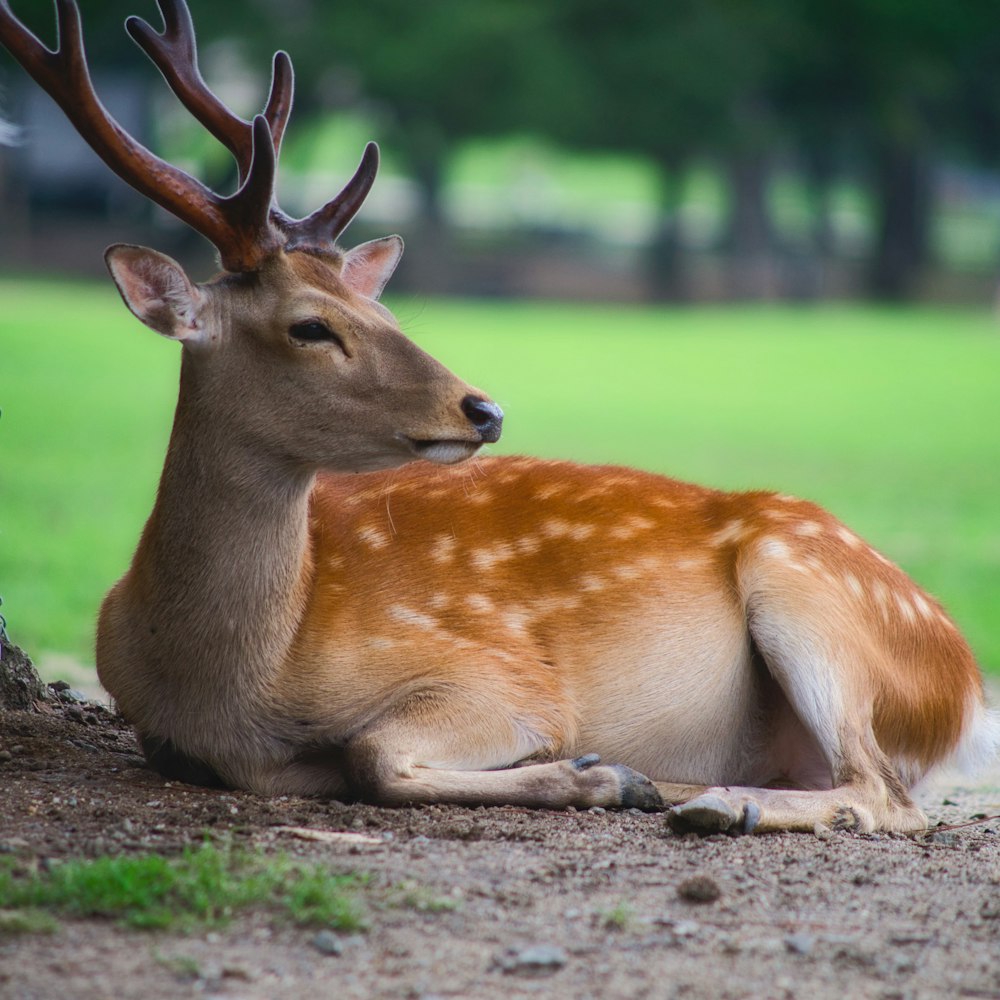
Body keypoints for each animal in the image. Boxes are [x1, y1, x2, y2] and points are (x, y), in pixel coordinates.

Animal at [3, 0, 996, 836]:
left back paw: (716, 802)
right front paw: (610, 775)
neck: (230, 681)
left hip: (813, 591)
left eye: (380, 309)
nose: (483, 408)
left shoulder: (500, 671)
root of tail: (961, 672)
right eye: (311, 324)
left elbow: (374, 752)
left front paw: (598, 774)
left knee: (891, 796)